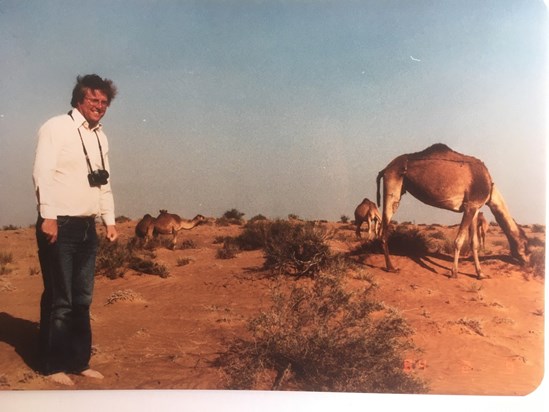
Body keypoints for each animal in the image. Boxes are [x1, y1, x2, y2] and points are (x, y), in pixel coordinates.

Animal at [374, 142, 528, 280]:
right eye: (527, 245)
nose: (528, 262)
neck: (490, 189)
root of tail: (385, 169)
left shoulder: (475, 208)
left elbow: (474, 243)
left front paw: (480, 274)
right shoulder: (469, 206)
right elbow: (459, 241)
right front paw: (454, 273)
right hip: (392, 186)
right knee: (384, 229)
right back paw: (391, 267)